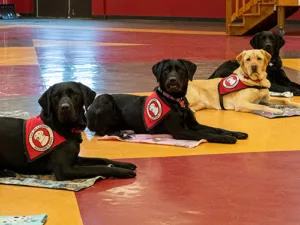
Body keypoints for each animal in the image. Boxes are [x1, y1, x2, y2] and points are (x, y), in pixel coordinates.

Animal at [86, 59, 248, 145]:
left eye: (180, 70)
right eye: (166, 71)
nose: (172, 80)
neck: (176, 101)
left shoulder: (193, 125)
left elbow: (216, 128)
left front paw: (236, 133)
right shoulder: (180, 130)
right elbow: (207, 135)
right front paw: (226, 138)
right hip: (105, 99)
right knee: (101, 131)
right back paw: (120, 133)